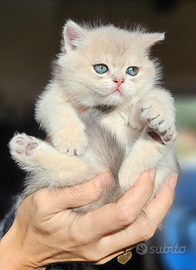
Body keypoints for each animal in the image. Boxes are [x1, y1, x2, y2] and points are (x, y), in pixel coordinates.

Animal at [8, 21, 178, 211]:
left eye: (132, 71)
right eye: (101, 68)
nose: (119, 80)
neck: (107, 106)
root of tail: (112, 194)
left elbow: (158, 94)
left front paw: (159, 114)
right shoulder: (50, 97)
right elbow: (58, 109)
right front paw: (71, 139)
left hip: (159, 170)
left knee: (127, 178)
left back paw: (157, 137)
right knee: (88, 171)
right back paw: (28, 148)